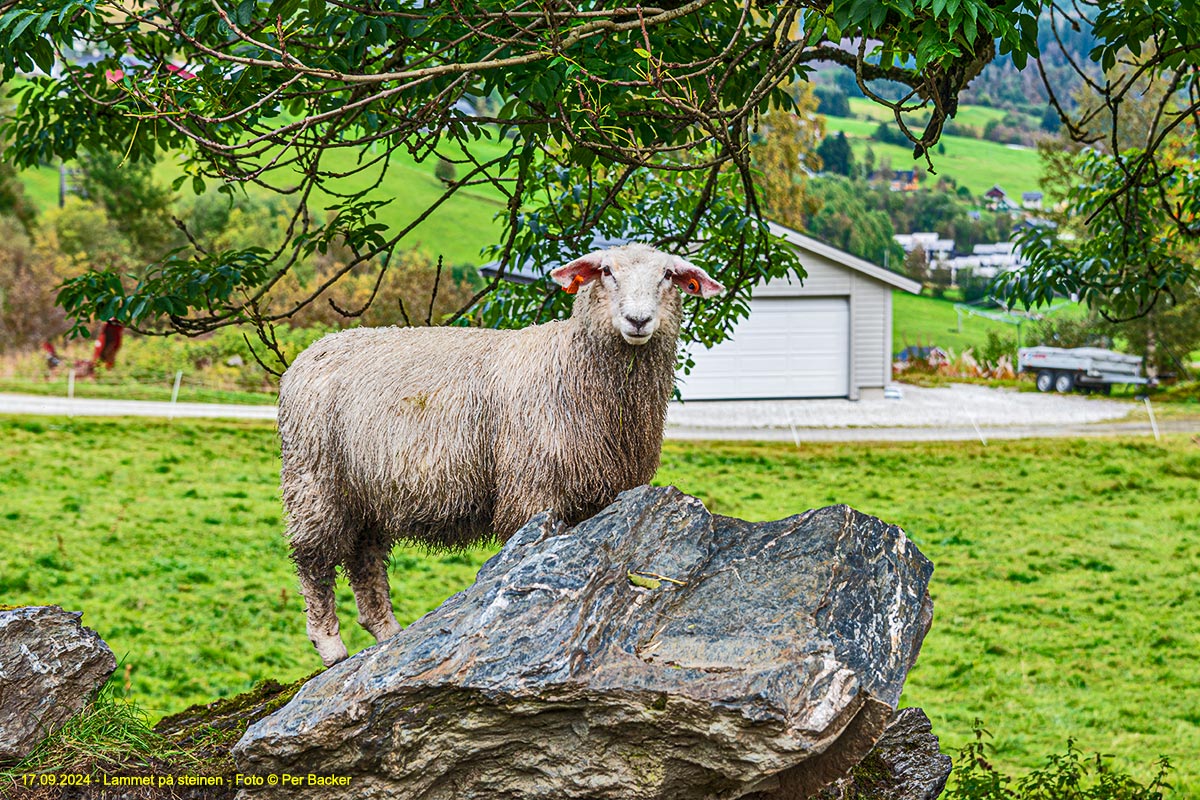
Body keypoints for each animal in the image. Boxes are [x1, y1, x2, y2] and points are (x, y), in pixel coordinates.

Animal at [276, 241, 720, 666]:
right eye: (607, 271)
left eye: (667, 275)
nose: (638, 320)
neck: (572, 364)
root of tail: (312, 350)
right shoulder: (532, 489)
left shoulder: (601, 495)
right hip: (313, 478)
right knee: (314, 561)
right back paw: (330, 645)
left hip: (366, 493)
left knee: (364, 560)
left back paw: (387, 635)